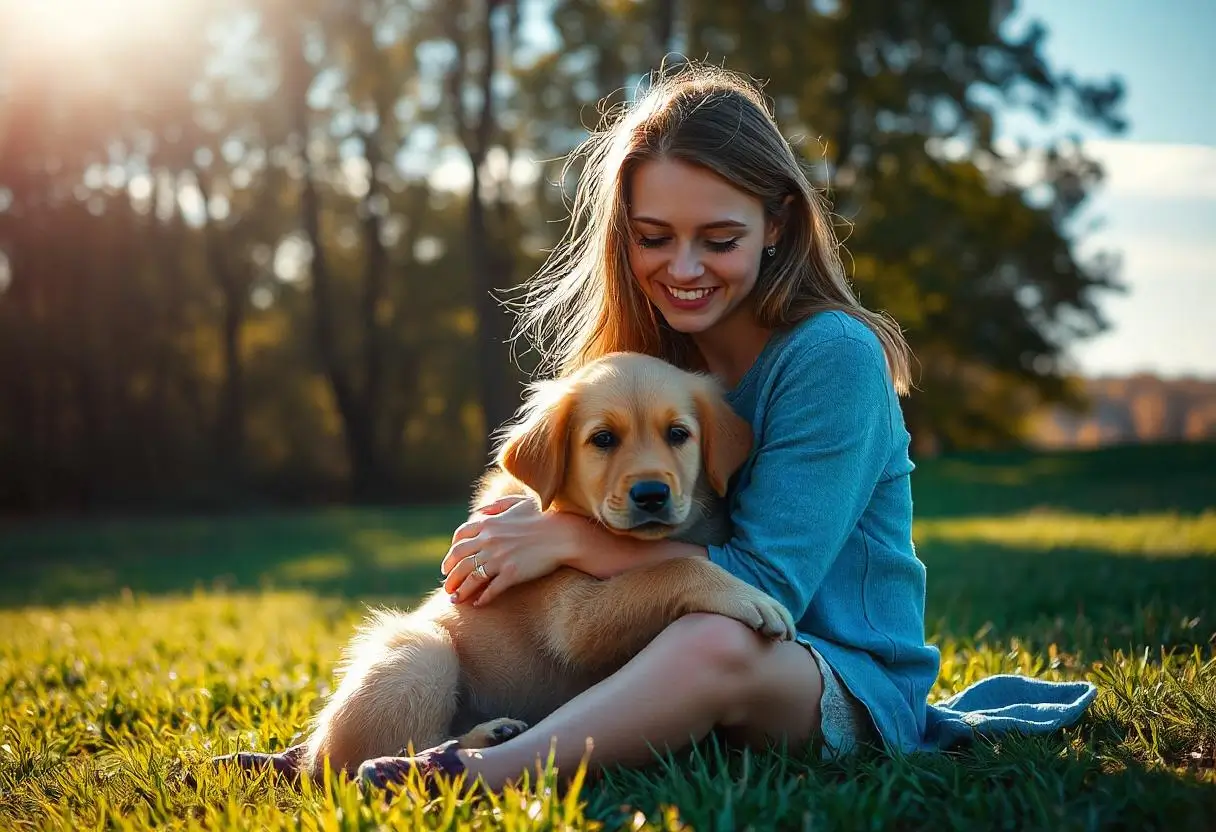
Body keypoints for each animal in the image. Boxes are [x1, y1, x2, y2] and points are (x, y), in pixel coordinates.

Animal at [296, 350, 797, 778]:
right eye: (603, 439)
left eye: (678, 434)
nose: (651, 494)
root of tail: (311, 751)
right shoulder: (570, 618)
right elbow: (670, 570)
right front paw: (750, 596)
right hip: (422, 655)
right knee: (370, 759)